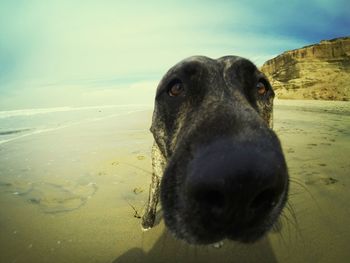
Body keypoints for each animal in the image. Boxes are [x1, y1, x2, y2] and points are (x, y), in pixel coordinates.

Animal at [141, 55, 288, 245]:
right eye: (176, 88)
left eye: (261, 87)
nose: (241, 182)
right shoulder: (157, 170)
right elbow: (153, 194)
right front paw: (147, 220)